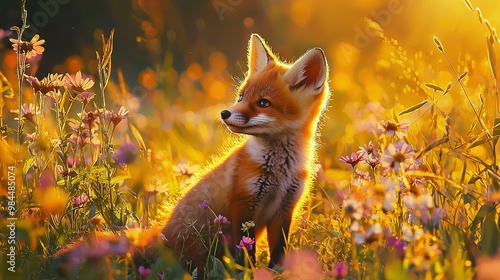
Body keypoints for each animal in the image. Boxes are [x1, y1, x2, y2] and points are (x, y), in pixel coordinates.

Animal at [54, 34, 330, 276]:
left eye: (263, 103)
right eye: (241, 96)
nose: (225, 113)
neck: (280, 171)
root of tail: (157, 236)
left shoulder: (285, 209)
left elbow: (279, 254)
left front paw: (277, 273)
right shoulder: (243, 205)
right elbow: (245, 255)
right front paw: (250, 273)